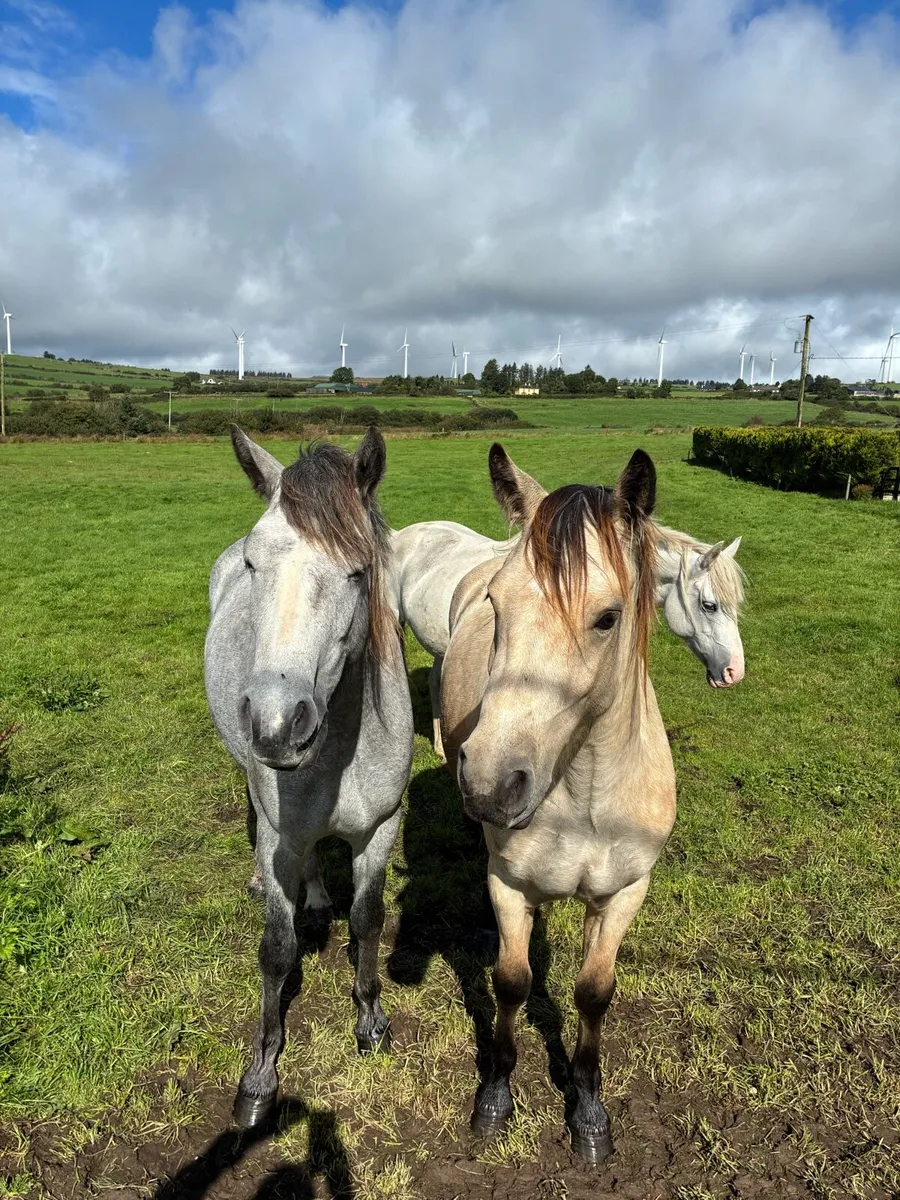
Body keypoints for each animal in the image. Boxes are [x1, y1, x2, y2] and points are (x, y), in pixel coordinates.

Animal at [204, 427, 413, 1128]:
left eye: (358, 571)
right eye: (253, 564)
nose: (277, 724)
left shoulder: (380, 829)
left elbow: (369, 920)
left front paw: (370, 1020)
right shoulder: (281, 836)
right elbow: (276, 948)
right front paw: (260, 1074)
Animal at [439, 445, 677, 1163]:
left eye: (607, 617)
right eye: (497, 604)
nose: (491, 783)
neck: (586, 798)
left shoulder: (625, 891)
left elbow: (595, 993)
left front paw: (590, 1112)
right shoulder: (507, 883)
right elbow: (512, 982)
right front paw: (495, 1096)